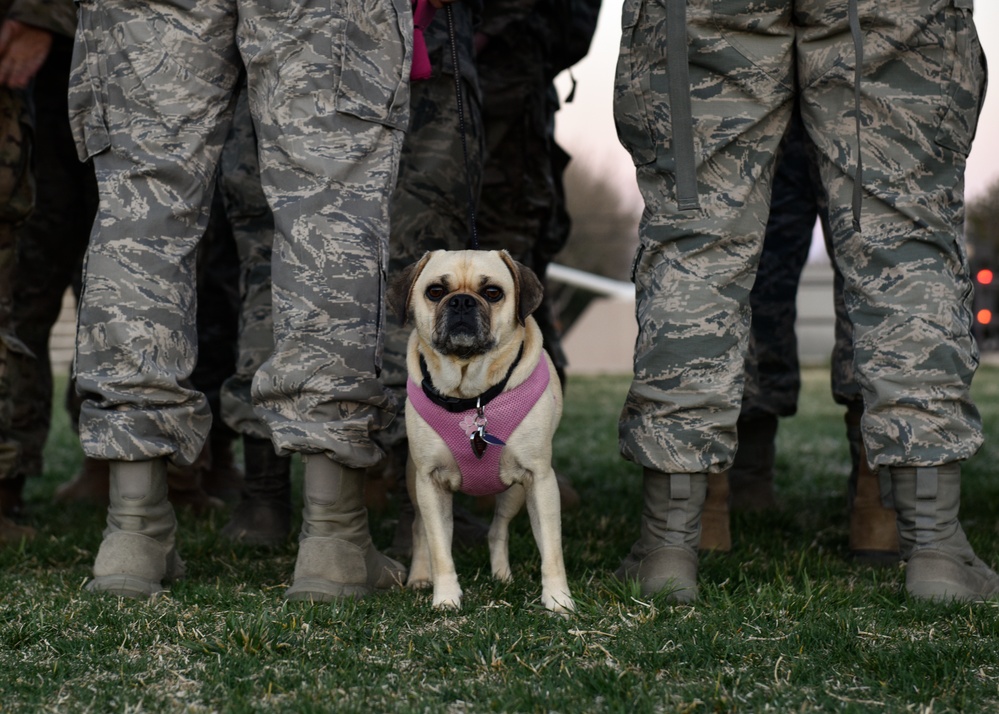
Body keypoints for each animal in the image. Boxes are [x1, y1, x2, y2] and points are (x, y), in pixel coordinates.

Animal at [392, 248, 580, 608]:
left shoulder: (540, 480)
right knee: (420, 530)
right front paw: (446, 597)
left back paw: (502, 576)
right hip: (414, 482)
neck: (471, 394)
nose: (462, 301)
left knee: (498, 530)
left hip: (514, 492)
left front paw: (558, 600)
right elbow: (440, 549)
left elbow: (552, 550)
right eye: (435, 291)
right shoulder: (430, 482)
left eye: (493, 293)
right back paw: (420, 577)